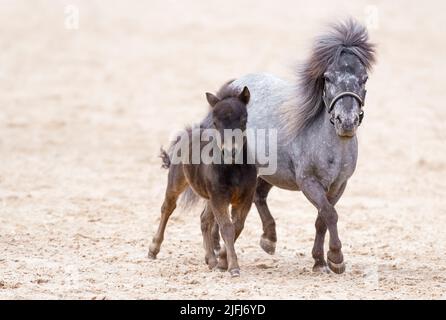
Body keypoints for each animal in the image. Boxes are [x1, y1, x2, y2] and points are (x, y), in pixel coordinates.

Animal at [148, 85, 256, 278]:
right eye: (215, 122)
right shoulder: (219, 196)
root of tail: (188, 132)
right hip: (177, 181)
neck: (234, 168)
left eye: (244, 119)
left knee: (205, 219)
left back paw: (211, 260)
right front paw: (232, 267)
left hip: (208, 196)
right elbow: (227, 227)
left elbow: (237, 226)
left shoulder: (245, 197)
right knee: (168, 207)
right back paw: (153, 249)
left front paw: (223, 261)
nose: (230, 152)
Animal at [207, 20, 374, 274]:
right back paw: (219, 252)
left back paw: (266, 240)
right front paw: (336, 258)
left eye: (364, 79)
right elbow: (329, 214)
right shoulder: (308, 183)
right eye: (328, 78)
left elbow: (322, 219)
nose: (346, 121)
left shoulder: (338, 185)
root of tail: (233, 86)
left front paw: (320, 262)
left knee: (258, 197)